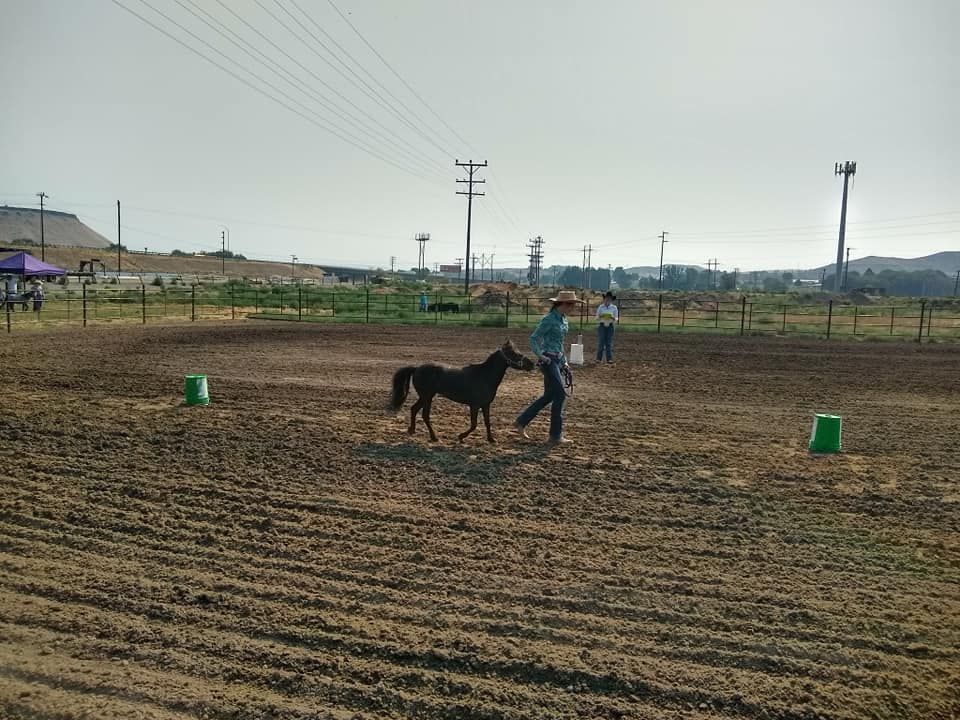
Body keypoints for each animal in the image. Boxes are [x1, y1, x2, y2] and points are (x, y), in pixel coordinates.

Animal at [389, 340, 535, 443]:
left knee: (414, 409)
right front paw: (461, 436)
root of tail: (417, 368)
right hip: (427, 396)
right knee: (425, 415)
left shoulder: (486, 405)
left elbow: (487, 422)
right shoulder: (474, 405)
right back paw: (434, 437)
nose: (532, 364)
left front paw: (491, 439)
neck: (484, 376)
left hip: (425, 396)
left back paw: (412, 430)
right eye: (515, 353)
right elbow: (474, 424)